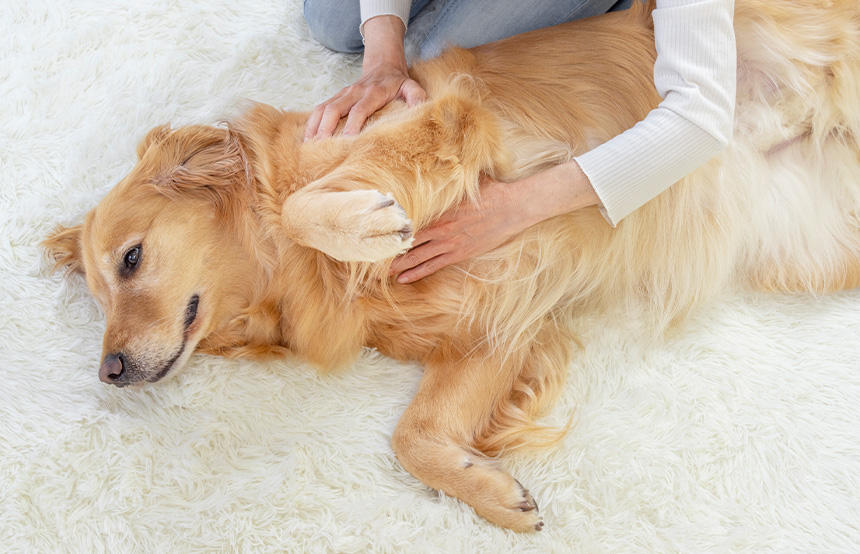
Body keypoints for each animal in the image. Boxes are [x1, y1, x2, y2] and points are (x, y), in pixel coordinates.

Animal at [45, 1, 860, 532]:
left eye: (131, 259)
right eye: (98, 296)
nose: (108, 371)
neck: (290, 280)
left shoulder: (448, 121)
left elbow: (313, 201)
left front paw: (366, 222)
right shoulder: (496, 323)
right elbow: (414, 438)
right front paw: (491, 493)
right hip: (813, 247)